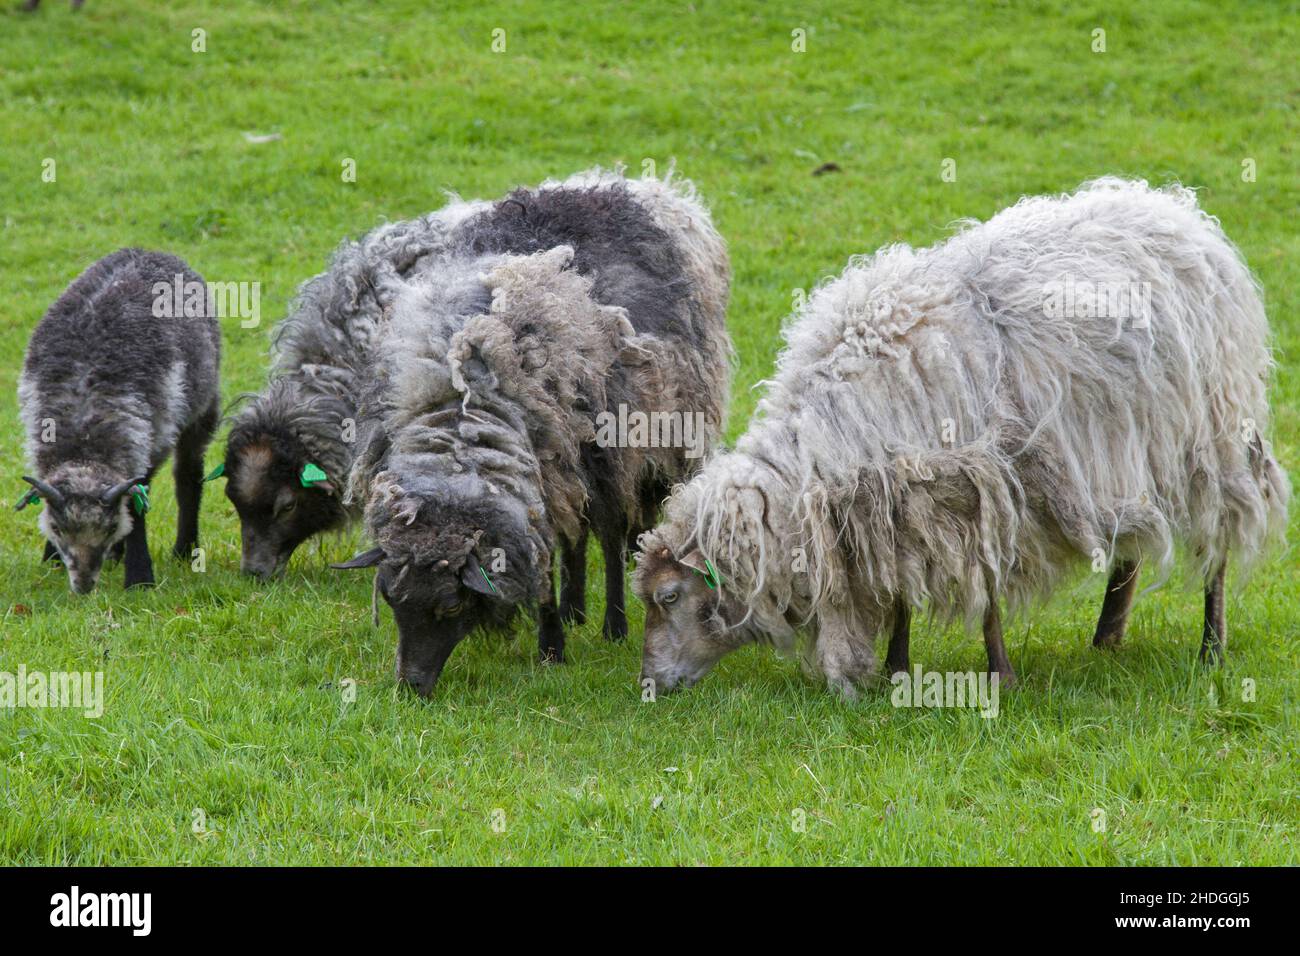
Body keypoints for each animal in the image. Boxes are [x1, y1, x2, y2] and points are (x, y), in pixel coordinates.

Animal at [15, 248, 220, 590]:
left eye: (110, 528)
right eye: (58, 530)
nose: (84, 585)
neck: (85, 440)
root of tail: (147, 249)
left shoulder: (147, 441)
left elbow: (136, 507)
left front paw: (139, 578)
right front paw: (51, 559)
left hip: (202, 410)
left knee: (188, 477)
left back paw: (184, 549)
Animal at [338, 170, 733, 697]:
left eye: (451, 604)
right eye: (392, 600)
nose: (412, 686)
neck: (462, 407)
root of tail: (619, 182)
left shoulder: (571, 465)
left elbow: (560, 554)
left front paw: (552, 649)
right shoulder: (541, 476)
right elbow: (550, 552)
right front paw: (556, 624)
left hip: (623, 445)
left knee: (609, 533)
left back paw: (611, 624)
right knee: (576, 534)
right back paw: (575, 608)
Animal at [631, 178, 1289, 697]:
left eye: (668, 598)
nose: (649, 685)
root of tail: (1179, 211)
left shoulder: (977, 487)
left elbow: (988, 593)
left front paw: (1000, 674)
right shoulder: (895, 501)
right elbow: (898, 587)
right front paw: (896, 666)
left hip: (1211, 434)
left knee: (1220, 541)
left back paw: (1211, 646)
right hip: (1125, 452)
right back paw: (1107, 637)